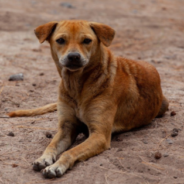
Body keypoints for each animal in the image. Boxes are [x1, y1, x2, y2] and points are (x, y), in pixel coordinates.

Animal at [7, 20, 169, 178]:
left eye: (87, 40)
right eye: (60, 40)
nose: (73, 56)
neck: (77, 85)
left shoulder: (99, 135)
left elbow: (70, 152)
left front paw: (56, 166)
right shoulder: (66, 127)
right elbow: (51, 145)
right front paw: (43, 158)